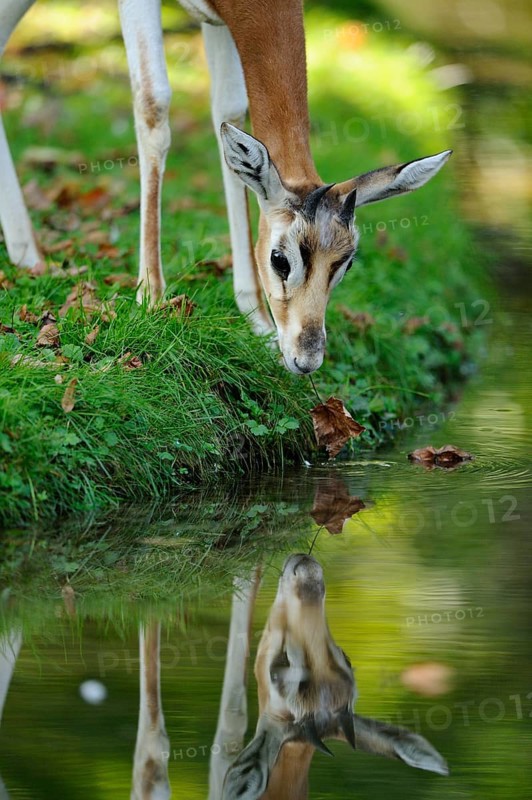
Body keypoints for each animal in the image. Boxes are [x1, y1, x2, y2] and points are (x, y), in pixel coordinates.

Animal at [0, 0, 451, 373]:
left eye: (346, 264)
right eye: (279, 259)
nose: (306, 360)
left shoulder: (219, 19)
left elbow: (228, 117)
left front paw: (257, 322)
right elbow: (154, 104)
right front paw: (151, 300)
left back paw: (28, 256)